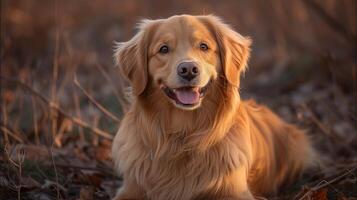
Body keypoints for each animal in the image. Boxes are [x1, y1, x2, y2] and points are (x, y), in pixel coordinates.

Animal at [112, 14, 314, 199]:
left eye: (204, 46)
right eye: (164, 49)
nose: (188, 69)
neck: (183, 135)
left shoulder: (236, 192)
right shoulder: (130, 189)